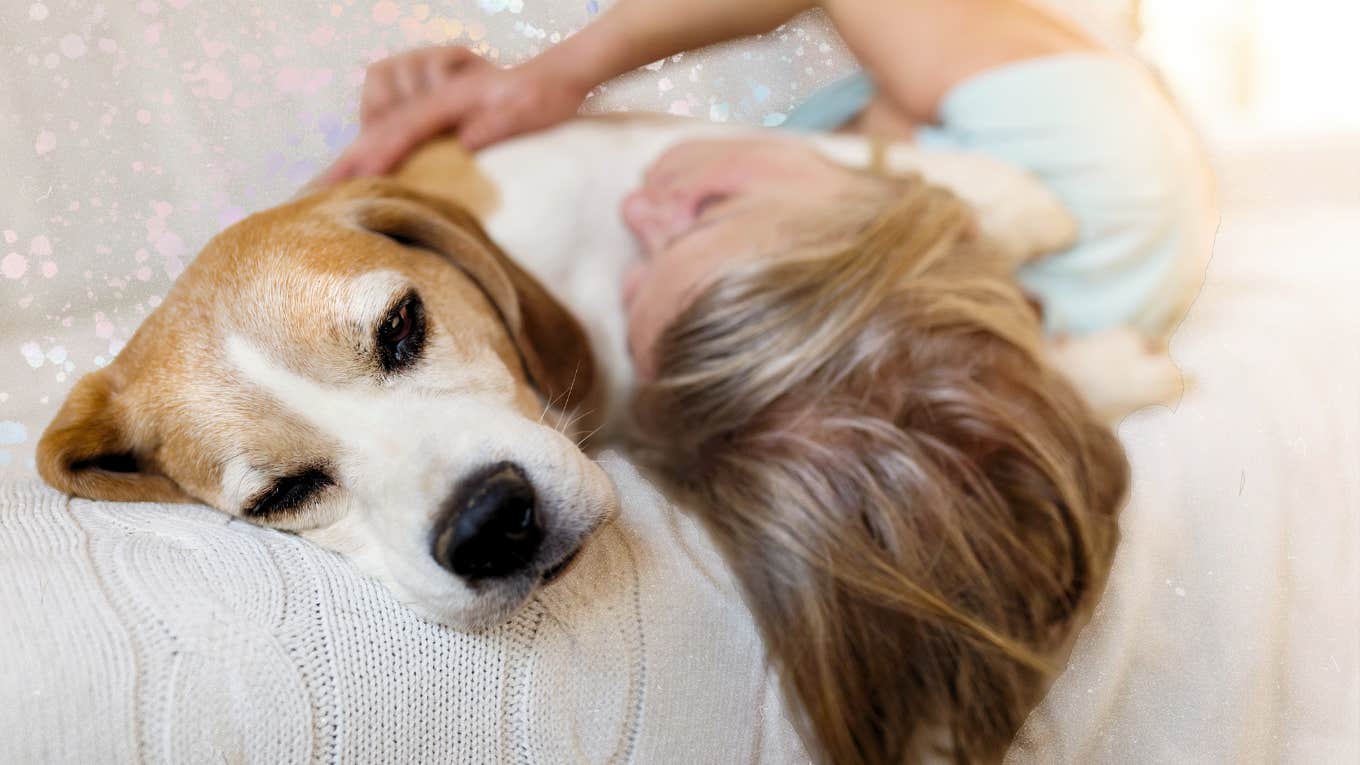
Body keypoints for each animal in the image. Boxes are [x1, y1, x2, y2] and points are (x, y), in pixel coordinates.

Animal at [34, 117, 1180, 626]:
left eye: (401, 327)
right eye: (281, 496)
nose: (490, 525)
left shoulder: (613, 155)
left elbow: (833, 169)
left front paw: (1011, 208)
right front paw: (1094, 366)